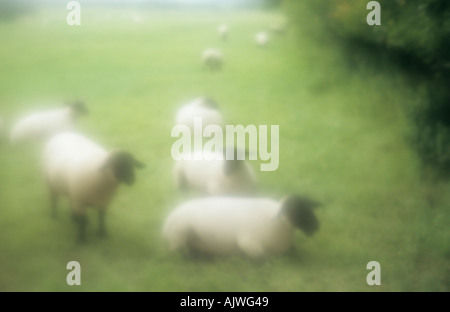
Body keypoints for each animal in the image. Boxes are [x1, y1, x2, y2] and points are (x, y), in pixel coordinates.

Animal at [162, 195, 320, 258]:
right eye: (299, 209)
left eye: (309, 207)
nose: (316, 227)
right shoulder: (249, 243)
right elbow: (264, 261)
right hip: (180, 235)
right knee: (184, 253)